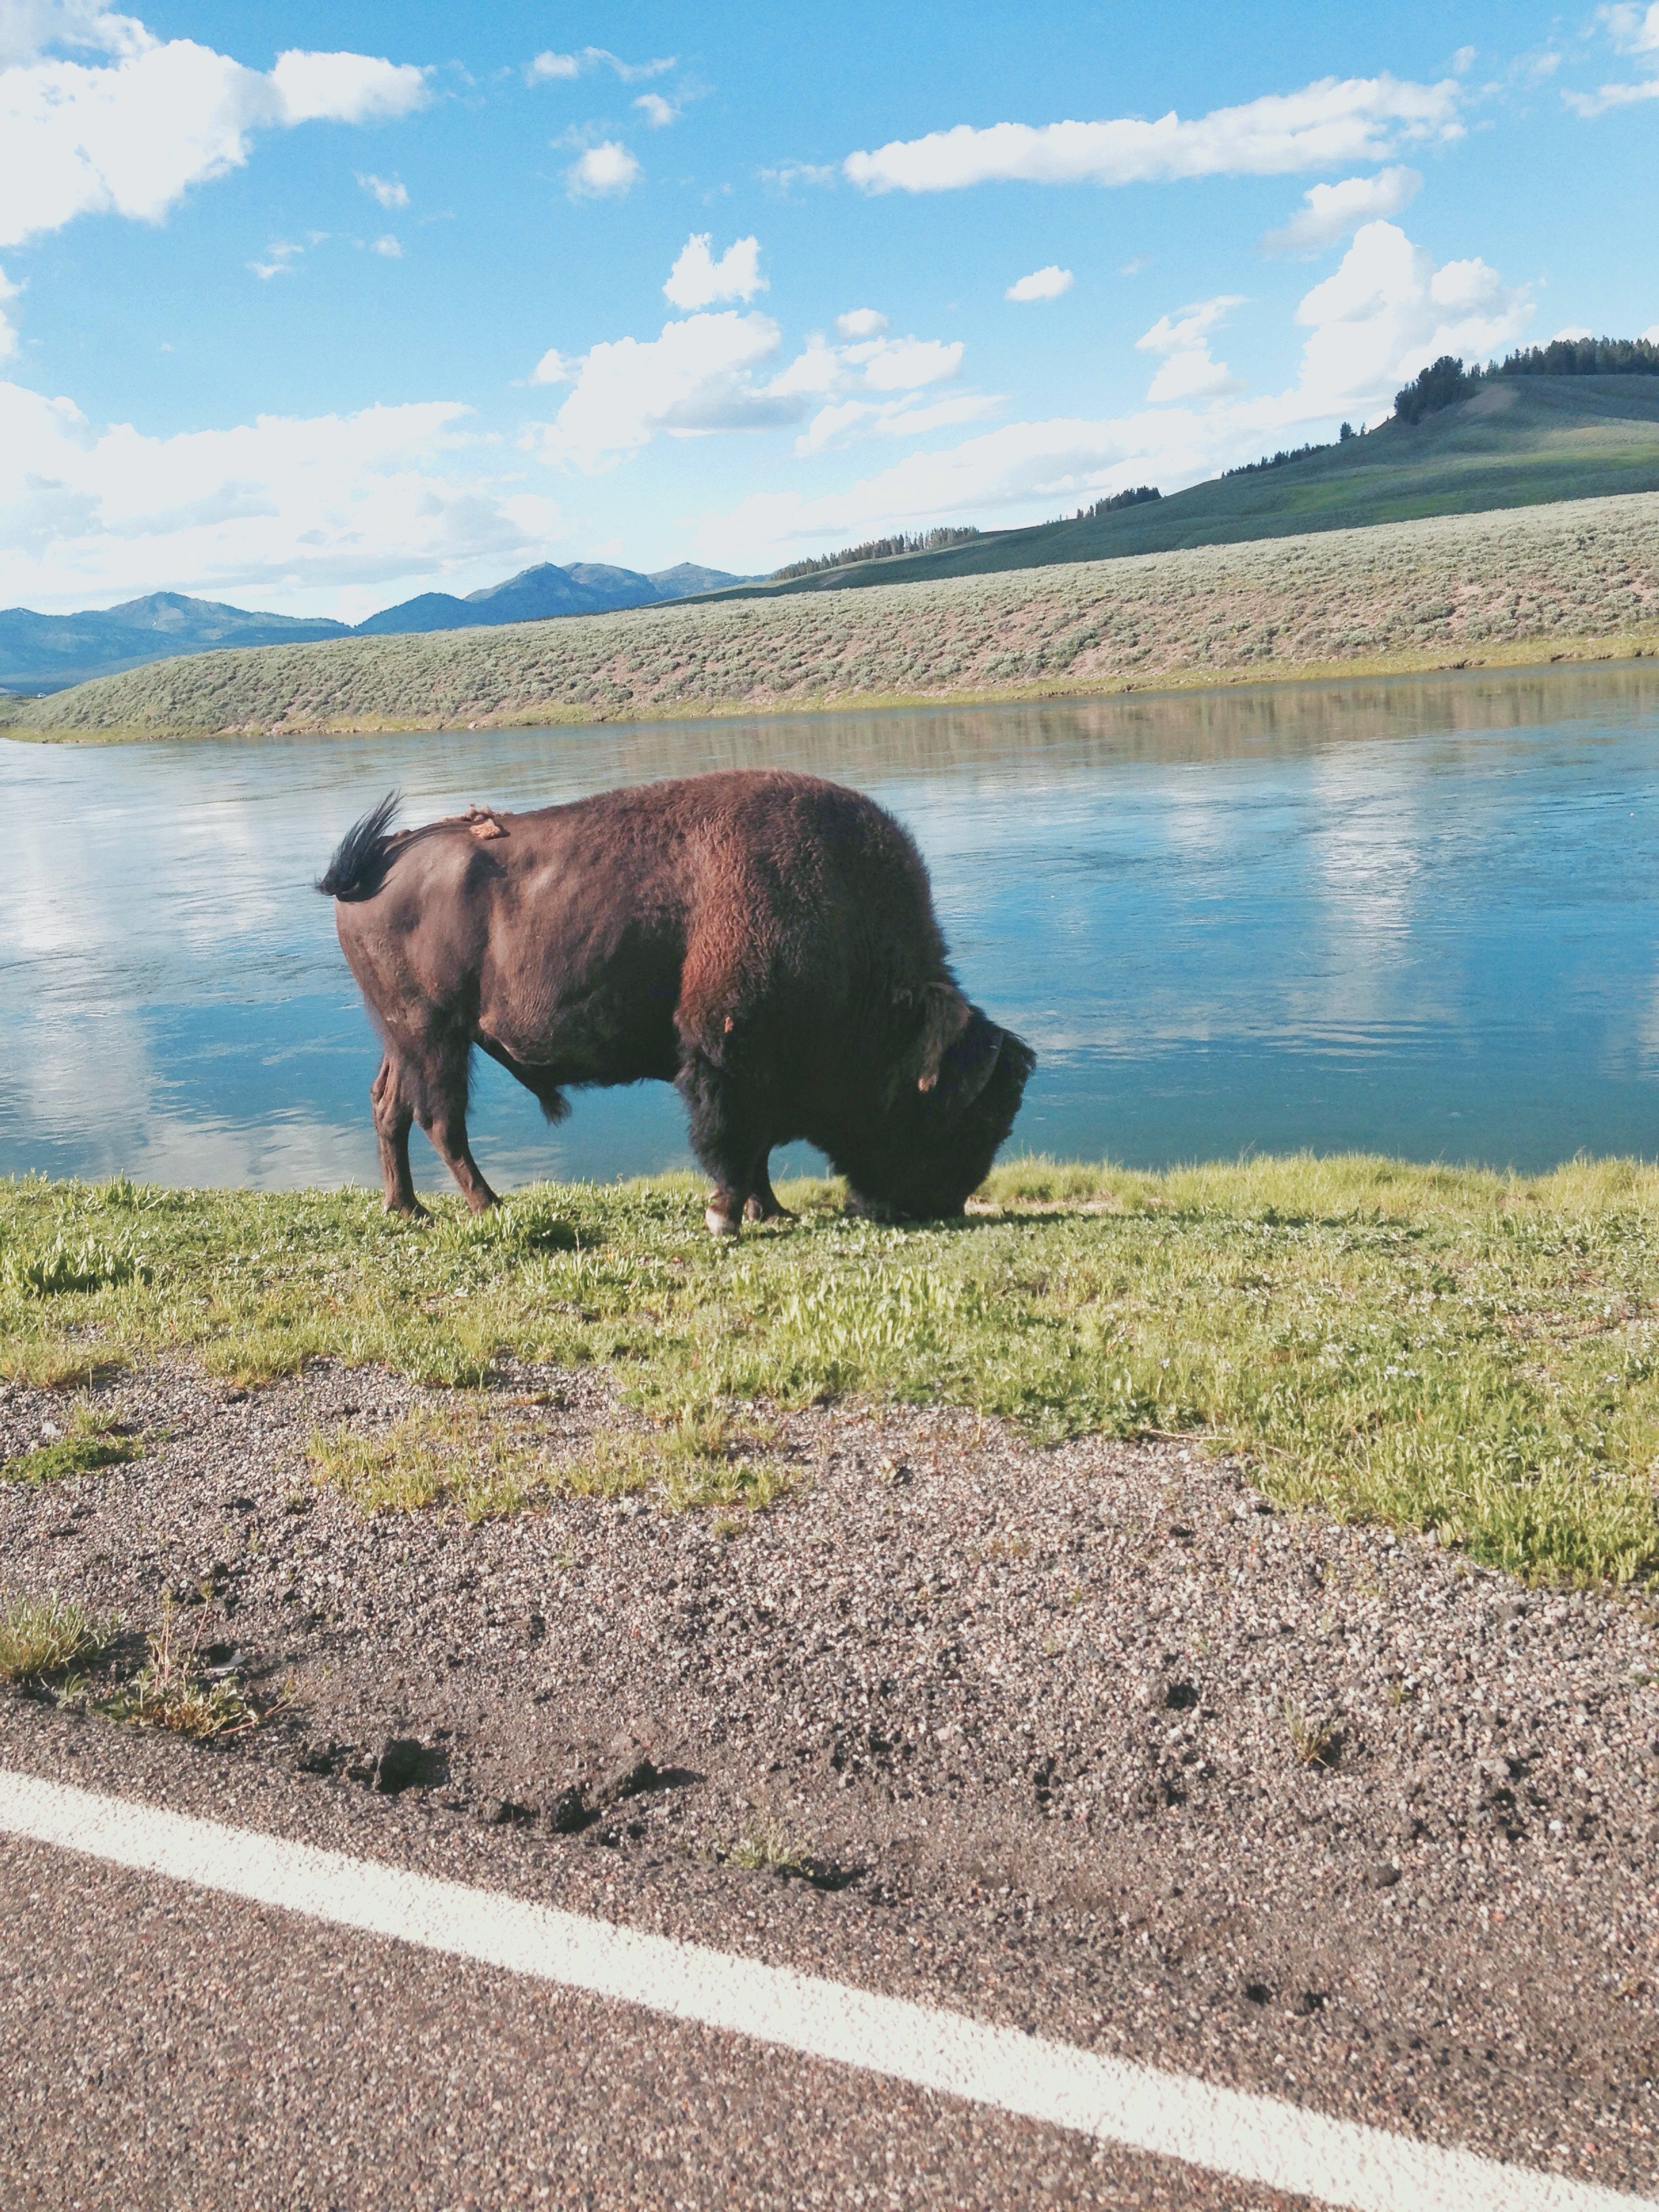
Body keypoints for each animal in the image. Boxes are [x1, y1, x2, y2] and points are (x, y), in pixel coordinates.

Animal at [319, 769, 1035, 1235]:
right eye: (968, 1117)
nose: (941, 1204)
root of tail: (380, 858)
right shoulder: (725, 1053)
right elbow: (732, 1141)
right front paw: (726, 1217)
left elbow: (758, 1149)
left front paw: (770, 1209)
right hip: (435, 1033)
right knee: (442, 1120)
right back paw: (489, 1206)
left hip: (408, 1038)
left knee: (391, 1107)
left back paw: (408, 1208)